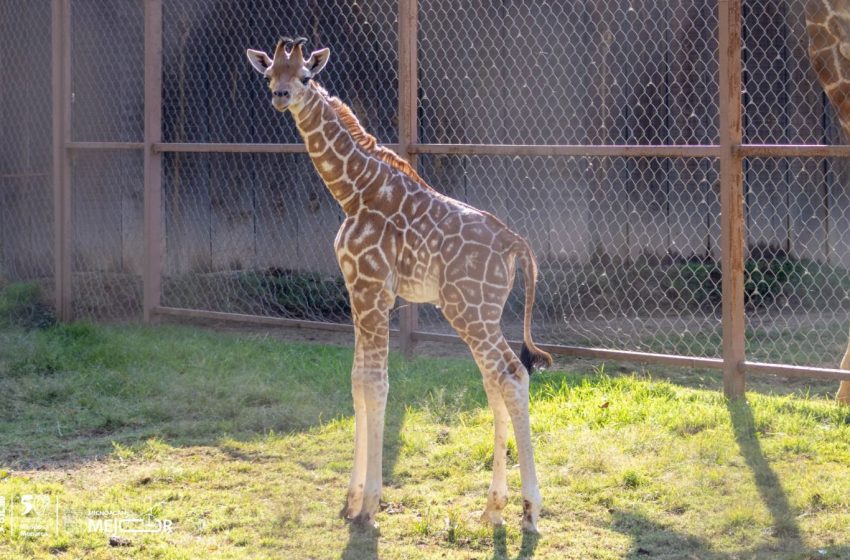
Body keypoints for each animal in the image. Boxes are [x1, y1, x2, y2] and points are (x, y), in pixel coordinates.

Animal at [246, 37, 553, 531]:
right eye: (271, 73)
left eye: (306, 76)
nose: (280, 96)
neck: (353, 192)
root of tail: (516, 245)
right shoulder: (357, 290)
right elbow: (356, 381)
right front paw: (350, 500)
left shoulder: (372, 288)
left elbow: (376, 383)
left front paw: (369, 506)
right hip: (482, 313)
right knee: (496, 379)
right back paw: (492, 508)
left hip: (469, 310)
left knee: (511, 374)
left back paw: (529, 510)